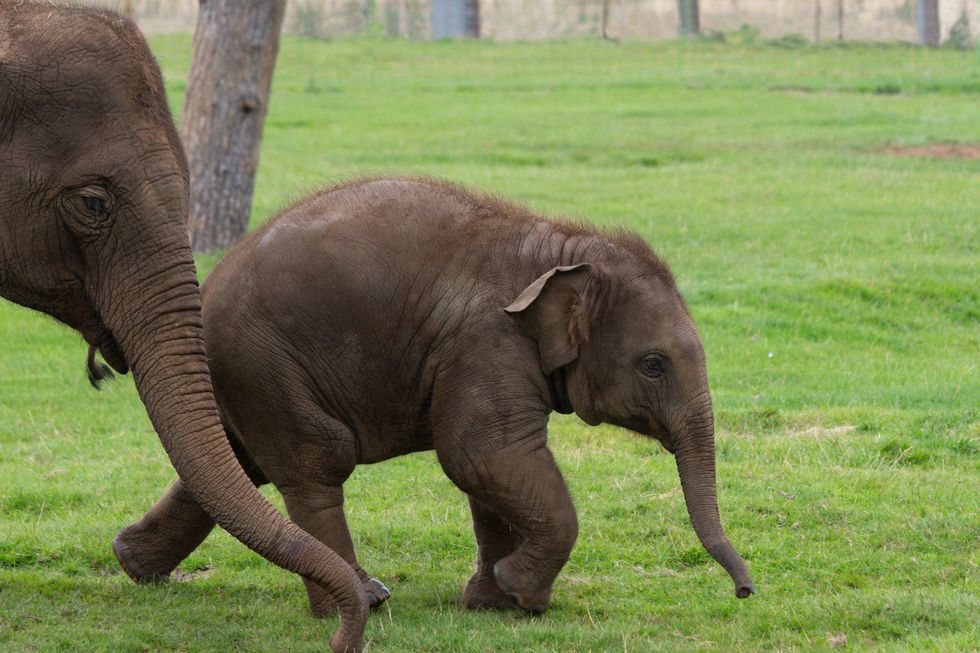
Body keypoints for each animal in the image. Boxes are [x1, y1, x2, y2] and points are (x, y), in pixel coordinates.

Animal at [114, 176, 755, 626]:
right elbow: (481, 455)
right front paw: (523, 593)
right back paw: (360, 603)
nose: (745, 591)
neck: (558, 245)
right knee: (313, 463)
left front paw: (494, 603)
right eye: (654, 364)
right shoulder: (487, 343)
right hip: (264, 364)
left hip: (244, 377)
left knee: (235, 464)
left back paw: (134, 565)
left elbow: (491, 472)